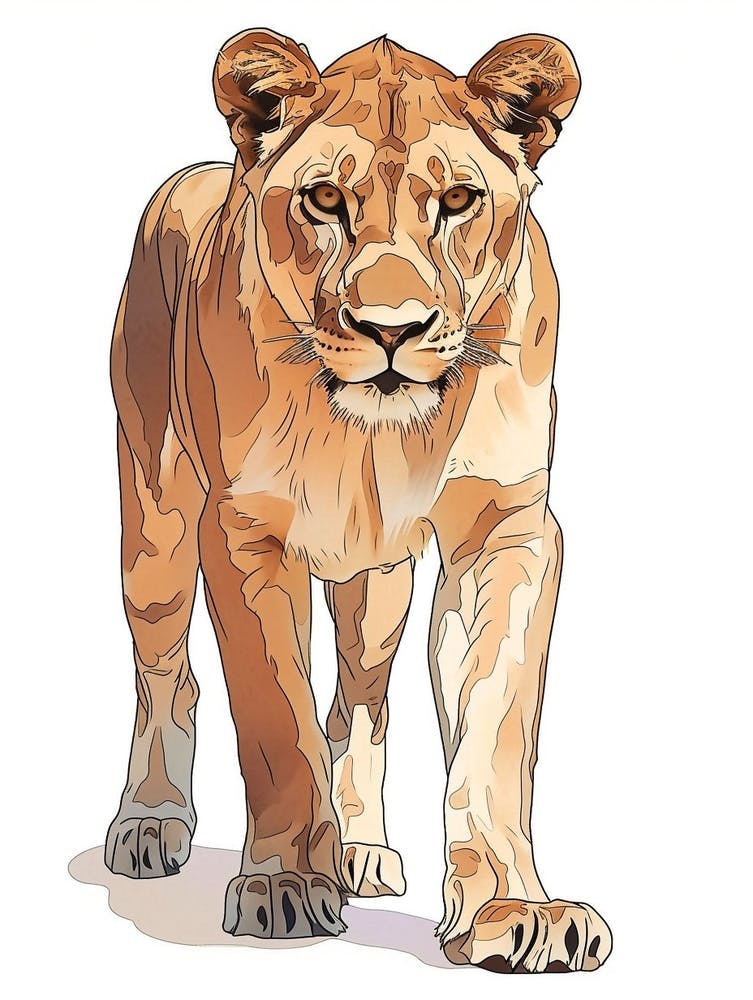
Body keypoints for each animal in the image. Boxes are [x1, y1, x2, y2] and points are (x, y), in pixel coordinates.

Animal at [105, 28, 612, 973]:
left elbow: (493, 731)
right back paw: (150, 822)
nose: (390, 329)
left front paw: (514, 911)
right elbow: (275, 720)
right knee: (166, 674)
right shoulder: (240, 531)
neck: (376, 437)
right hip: (153, 527)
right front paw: (284, 886)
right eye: (323, 200)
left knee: (360, 702)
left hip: (374, 589)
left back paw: (361, 848)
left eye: (457, 200)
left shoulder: (506, 529)